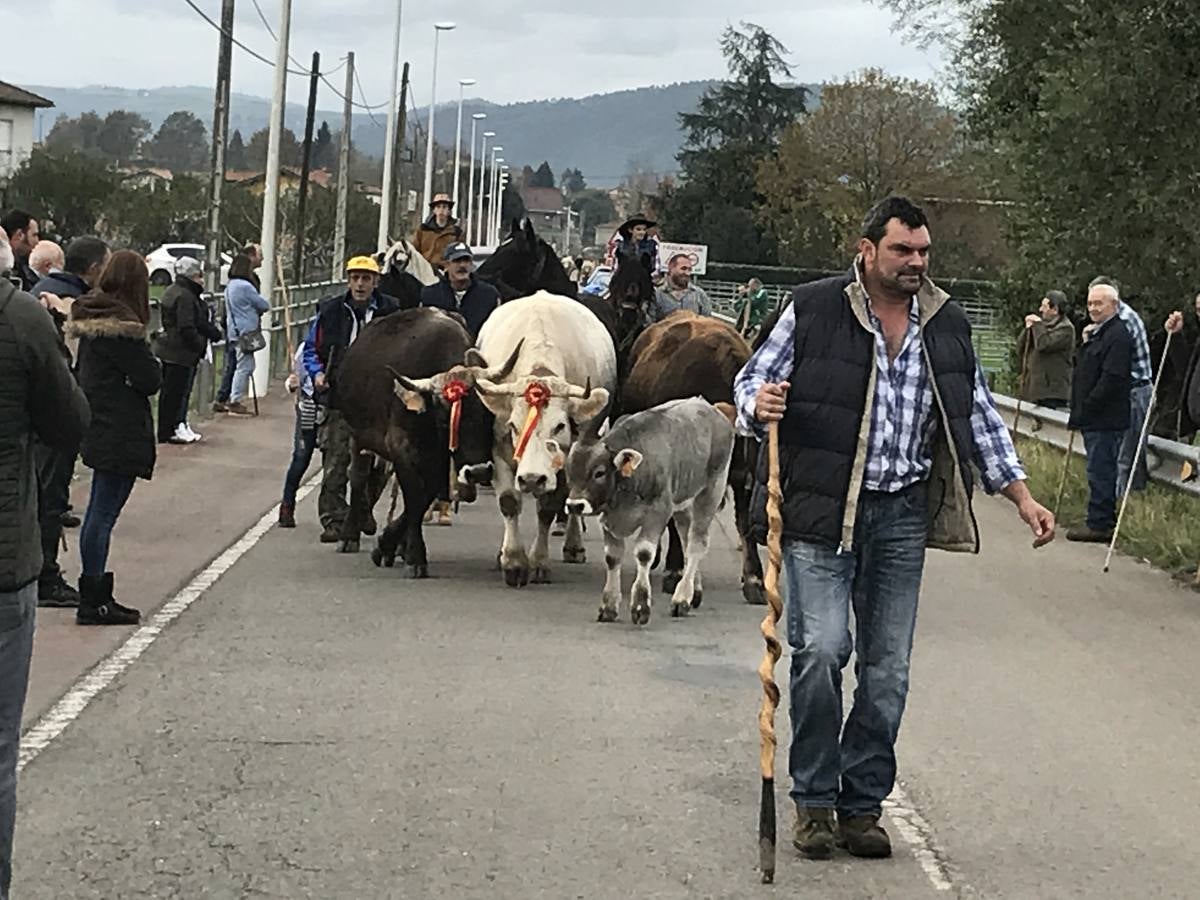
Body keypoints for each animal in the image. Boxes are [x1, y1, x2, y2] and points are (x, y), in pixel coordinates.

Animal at [333, 309, 516, 578]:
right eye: (446, 419)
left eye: (487, 415)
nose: (479, 471)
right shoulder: (401, 448)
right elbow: (415, 498)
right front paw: (414, 557)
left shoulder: (440, 460)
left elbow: (424, 498)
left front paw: (389, 545)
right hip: (357, 434)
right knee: (357, 477)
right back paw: (349, 535)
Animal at [470, 292, 619, 588]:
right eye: (513, 426)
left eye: (560, 426)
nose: (531, 479)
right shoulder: (499, 449)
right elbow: (509, 502)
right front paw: (513, 561)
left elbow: (548, 508)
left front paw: (538, 561)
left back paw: (574, 546)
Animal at [559, 398, 729, 624]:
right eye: (569, 471)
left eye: (599, 473)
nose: (574, 505)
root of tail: (712, 409)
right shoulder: (608, 520)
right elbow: (612, 557)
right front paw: (609, 606)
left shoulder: (658, 513)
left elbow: (644, 554)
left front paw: (640, 606)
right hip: (682, 505)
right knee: (686, 538)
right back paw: (694, 592)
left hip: (711, 491)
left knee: (696, 543)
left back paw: (681, 599)